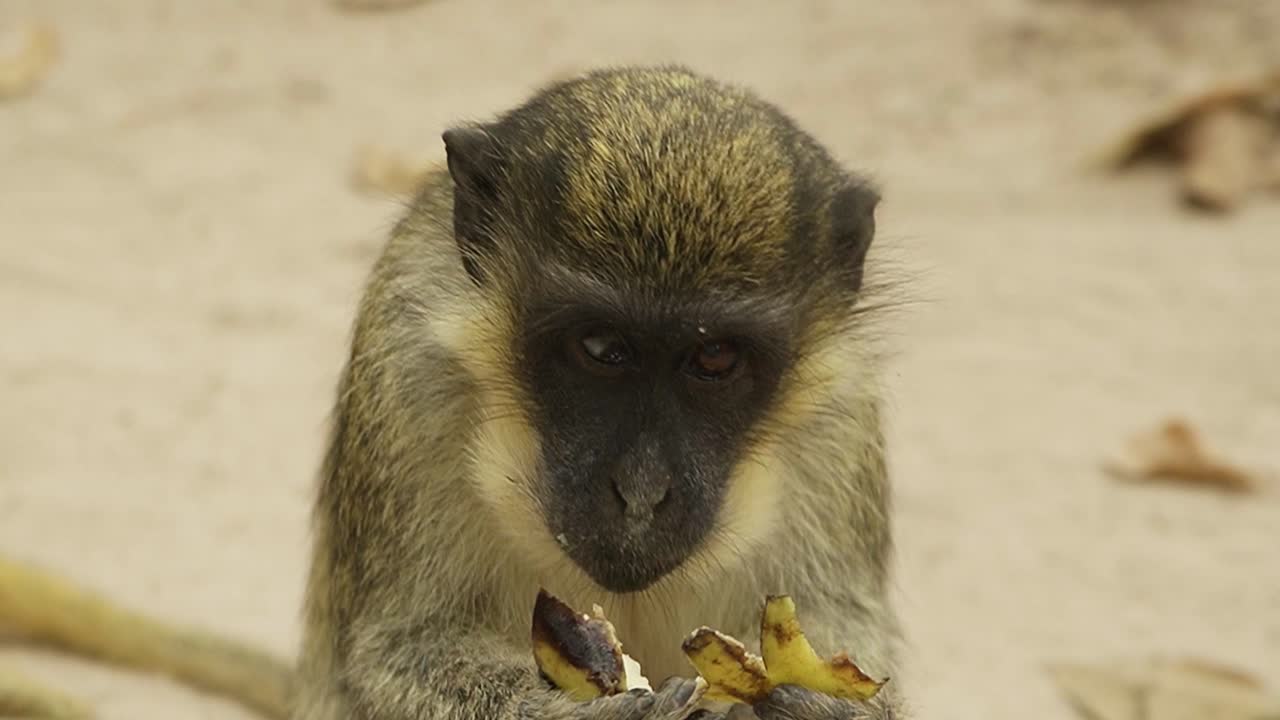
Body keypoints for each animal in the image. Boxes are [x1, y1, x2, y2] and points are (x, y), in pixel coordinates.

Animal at [0, 64, 905, 720]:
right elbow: (398, 650)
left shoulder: (839, 422)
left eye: (714, 360)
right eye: (599, 350)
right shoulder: (405, 369)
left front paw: (810, 705)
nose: (641, 494)